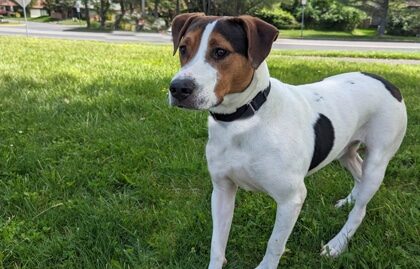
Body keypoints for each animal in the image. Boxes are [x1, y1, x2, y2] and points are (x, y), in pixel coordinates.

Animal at [167, 13, 406, 268]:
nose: (178, 88)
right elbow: (217, 242)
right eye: (183, 48)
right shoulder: (222, 190)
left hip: (378, 160)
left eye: (220, 52)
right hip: (345, 150)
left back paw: (337, 243)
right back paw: (351, 199)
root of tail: (388, 82)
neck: (244, 119)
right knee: (358, 171)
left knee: (361, 206)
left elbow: (275, 244)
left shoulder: (291, 199)